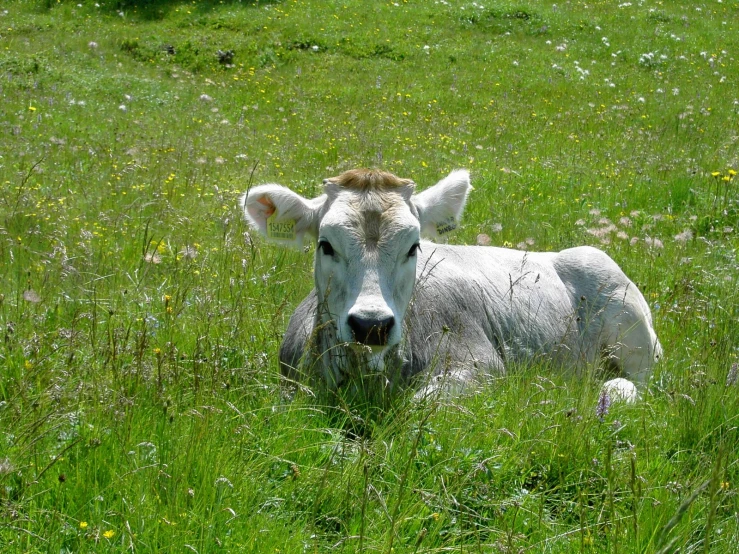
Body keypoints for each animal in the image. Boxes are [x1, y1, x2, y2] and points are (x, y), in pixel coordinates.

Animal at [241, 166, 660, 404]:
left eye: (414, 246)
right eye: (325, 244)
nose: (371, 325)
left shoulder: (481, 365)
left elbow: (420, 403)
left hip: (636, 338)